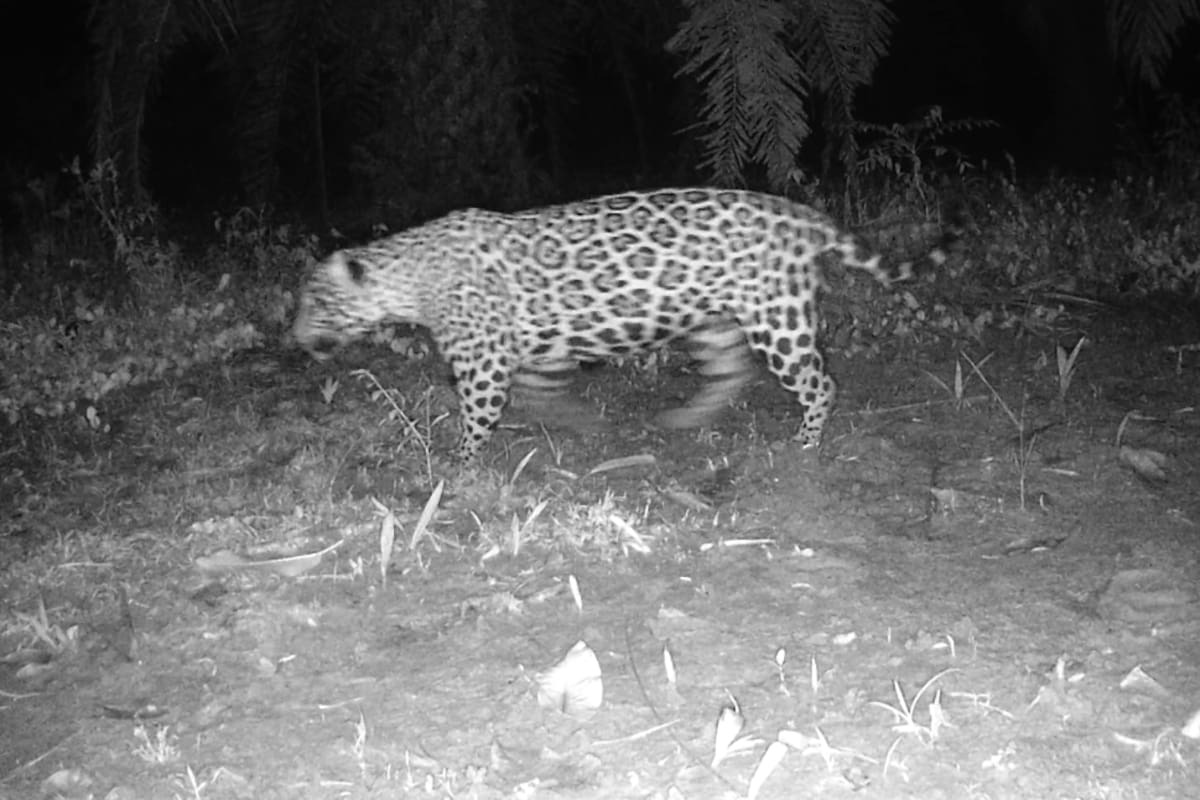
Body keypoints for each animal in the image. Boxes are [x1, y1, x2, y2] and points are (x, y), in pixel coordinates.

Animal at [292, 187, 943, 461]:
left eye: (315, 303)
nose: (294, 337)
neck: (410, 279)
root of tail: (796, 211)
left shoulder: (482, 364)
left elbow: (476, 417)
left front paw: (458, 463)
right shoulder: (540, 349)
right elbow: (545, 392)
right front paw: (581, 423)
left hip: (776, 319)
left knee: (819, 381)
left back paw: (805, 441)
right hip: (712, 318)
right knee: (730, 372)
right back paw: (686, 418)